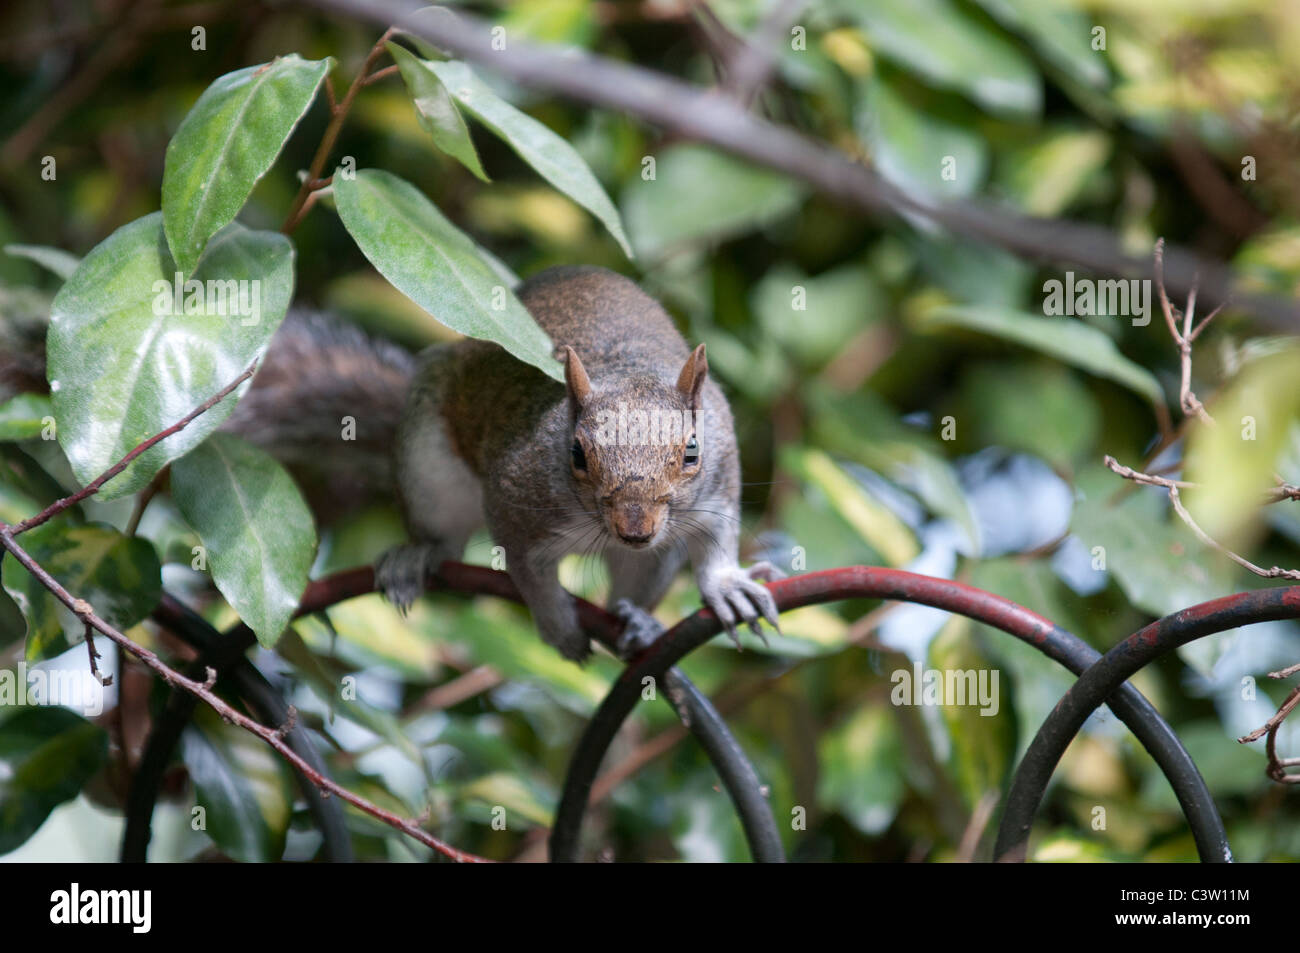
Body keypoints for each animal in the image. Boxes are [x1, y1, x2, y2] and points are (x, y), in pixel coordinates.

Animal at [237, 263, 774, 657]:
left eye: (692, 451)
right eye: (577, 454)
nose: (635, 529)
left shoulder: (720, 482)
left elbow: (718, 540)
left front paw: (728, 586)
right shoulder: (514, 501)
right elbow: (528, 574)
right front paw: (558, 626)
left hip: (657, 558)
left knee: (633, 585)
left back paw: (636, 619)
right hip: (428, 466)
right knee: (442, 536)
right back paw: (417, 557)